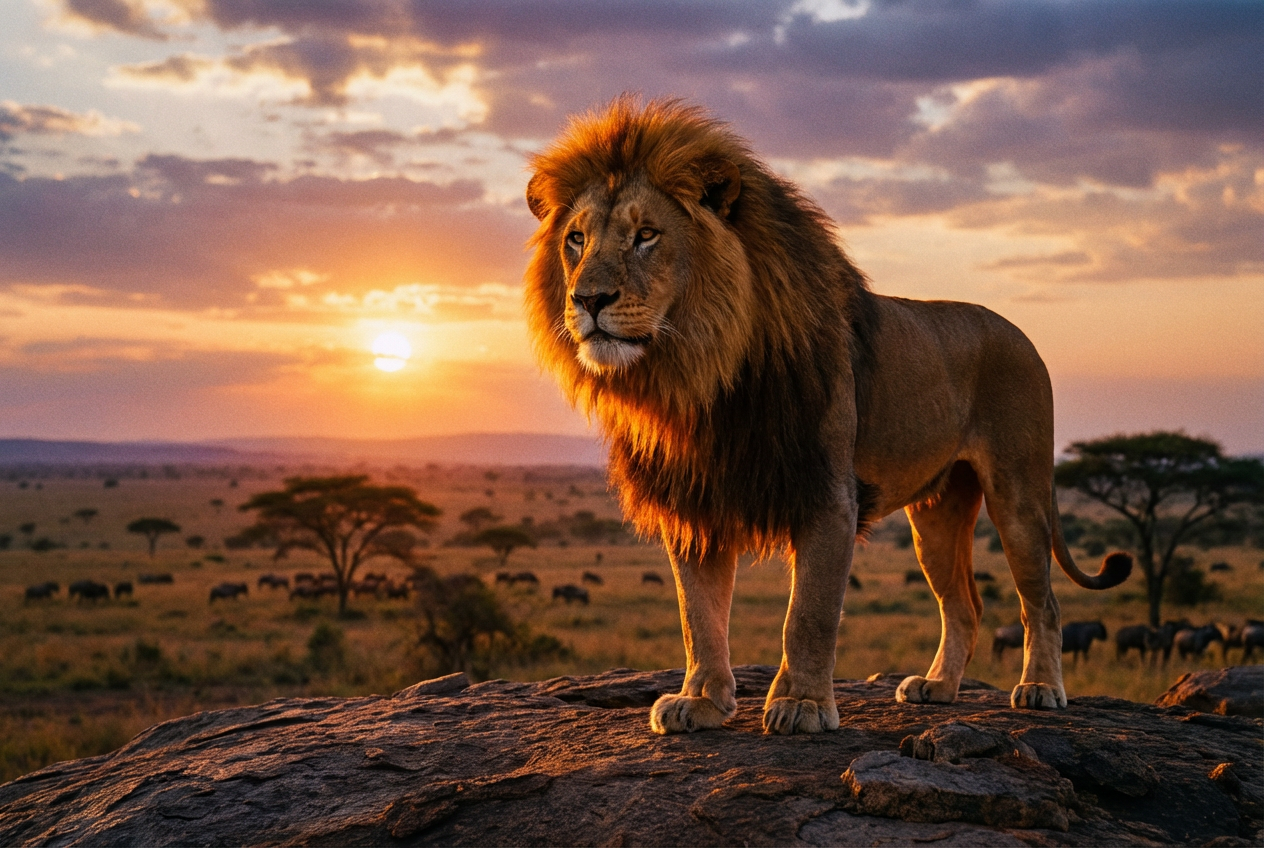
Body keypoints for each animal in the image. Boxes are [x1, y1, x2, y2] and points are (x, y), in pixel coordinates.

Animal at [523, 97, 1131, 735]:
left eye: (646, 235)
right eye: (575, 239)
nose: (588, 300)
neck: (698, 376)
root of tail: (1020, 333)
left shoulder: (827, 493)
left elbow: (809, 614)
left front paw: (803, 704)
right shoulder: (696, 501)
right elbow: (699, 616)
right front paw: (702, 700)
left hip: (1018, 492)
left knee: (1042, 600)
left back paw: (1040, 688)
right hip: (937, 513)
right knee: (964, 602)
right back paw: (938, 687)